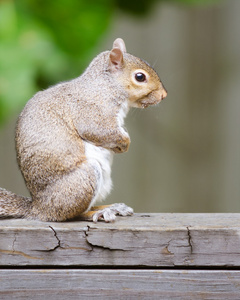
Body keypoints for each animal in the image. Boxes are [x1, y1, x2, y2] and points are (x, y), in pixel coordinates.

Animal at [0, 38, 167, 223]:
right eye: (140, 77)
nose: (163, 95)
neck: (107, 86)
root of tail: (39, 209)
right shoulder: (90, 111)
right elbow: (99, 131)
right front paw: (125, 143)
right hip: (84, 180)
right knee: (72, 214)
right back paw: (97, 213)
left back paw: (111, 207)